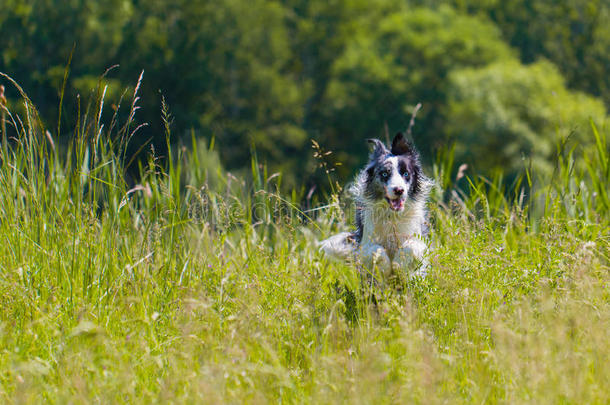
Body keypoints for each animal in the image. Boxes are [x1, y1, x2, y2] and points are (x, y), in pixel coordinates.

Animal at [318, 131, 432, 280]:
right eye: (384, 173)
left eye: (406, 173)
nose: (399, 190)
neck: (392, 215)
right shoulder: (364, 242)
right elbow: (376, 249)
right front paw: (385, 269)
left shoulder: (418, 237)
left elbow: (411, 247)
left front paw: (399, 265)